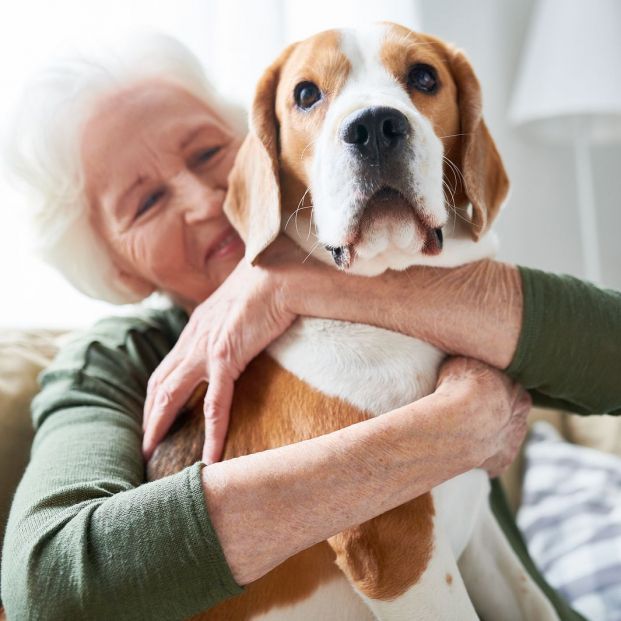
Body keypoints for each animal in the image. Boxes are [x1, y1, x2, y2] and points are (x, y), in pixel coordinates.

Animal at [151, 23, 560, 620]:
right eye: (305, 94)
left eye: (424, 77)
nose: (374, 128)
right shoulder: (395, 545)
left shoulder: (477, 518)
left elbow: (534, 602)